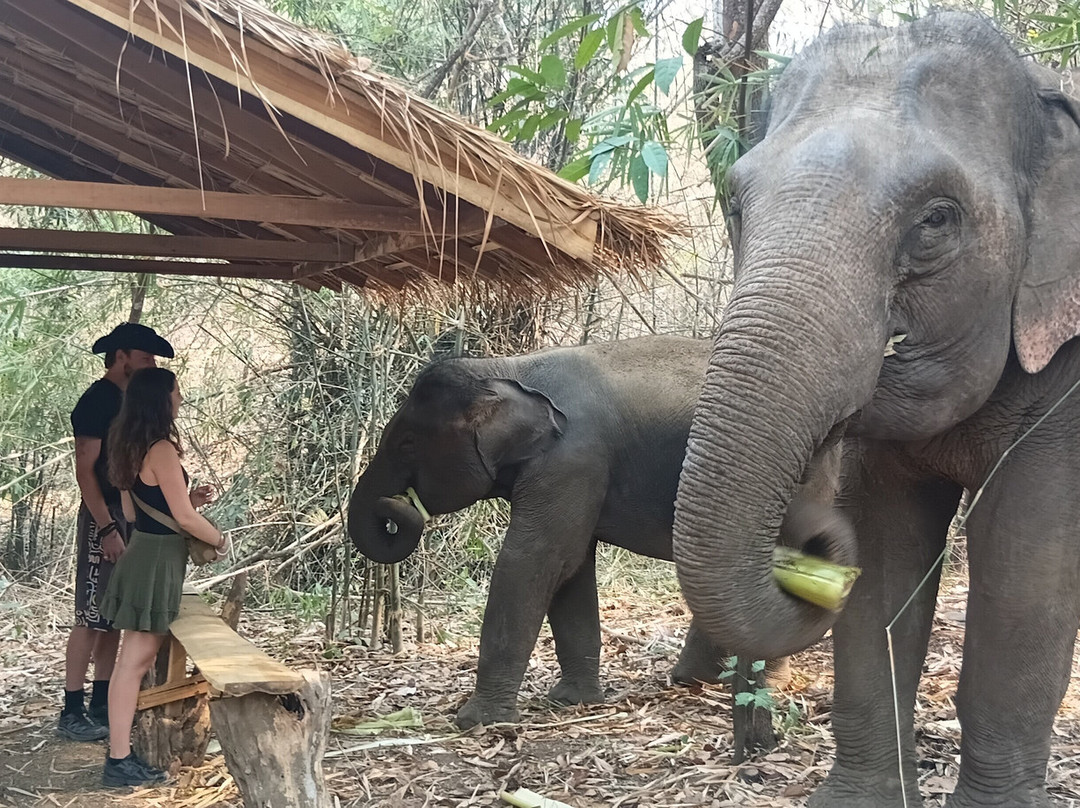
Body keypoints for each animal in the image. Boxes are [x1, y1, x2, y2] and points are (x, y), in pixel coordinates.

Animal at [347, 335, 851, 729]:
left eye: (406, 443)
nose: (397, 505)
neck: (507, 369)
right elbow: (571, 569)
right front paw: (572, 701)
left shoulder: (574, 458)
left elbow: (535, 560)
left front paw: (476, 722)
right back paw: (701, 680)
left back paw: (751, 683)